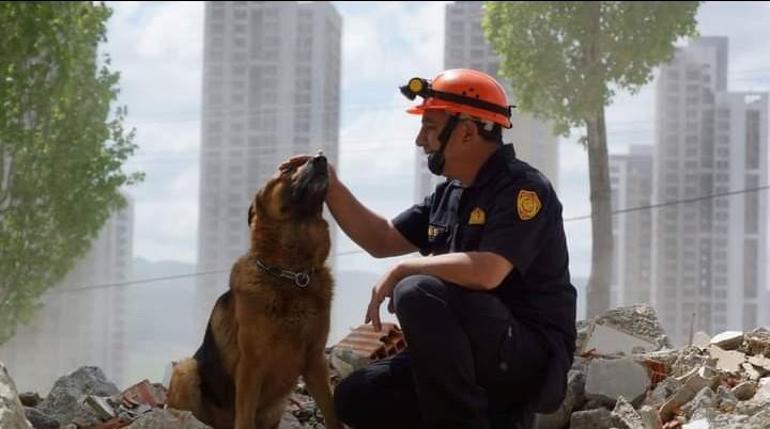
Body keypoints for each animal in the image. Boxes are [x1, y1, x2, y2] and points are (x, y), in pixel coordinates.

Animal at [168, 154, 342, 428]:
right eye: (287, 170)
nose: (321, 157)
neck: (292, 276)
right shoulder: (251, 366)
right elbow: (245, 417)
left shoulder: (315, 360)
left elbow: (331, 411)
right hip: (186, 371)